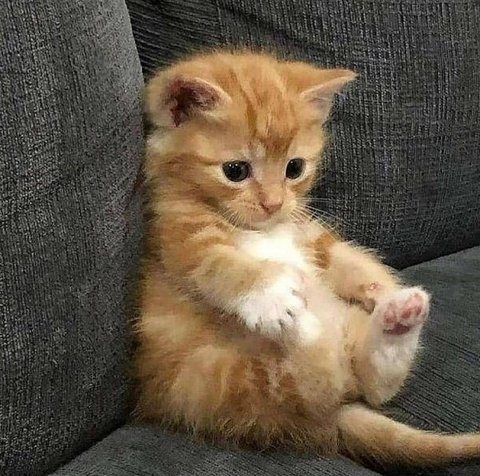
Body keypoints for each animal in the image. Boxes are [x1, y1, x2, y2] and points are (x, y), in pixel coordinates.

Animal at [134, 50, 480, 467]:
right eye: (235, 171)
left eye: (294, 168)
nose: (273, 203)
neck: (261, 228)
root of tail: (336, 417)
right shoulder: (175, 236)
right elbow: (218, 265)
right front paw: (270, 295)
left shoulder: (307, 233)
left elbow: (341, 258)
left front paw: (382, 287)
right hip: (227, 383)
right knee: (313, 377)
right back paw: (299, 322)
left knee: (372, 384)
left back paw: (398, 317)